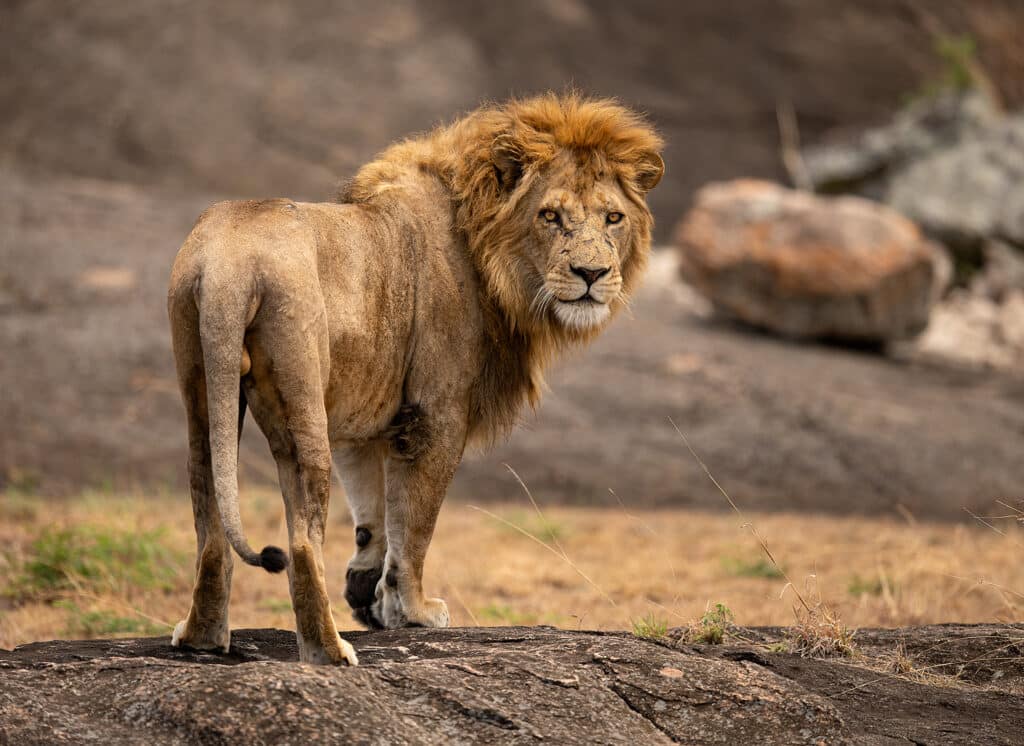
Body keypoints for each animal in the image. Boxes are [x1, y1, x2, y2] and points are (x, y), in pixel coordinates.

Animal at [165, 91, 663, 663]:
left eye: (613, 217)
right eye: (551, 216)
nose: (591, 275)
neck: (486, 250)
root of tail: (231, 266)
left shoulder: (365, 416)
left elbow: (374, 513)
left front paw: (368, 592)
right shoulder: (436, 414)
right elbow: (416, 523)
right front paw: (415, 611)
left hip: (201, 379)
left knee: (208, 512)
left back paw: (202, 637)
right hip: (300, 399)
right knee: (301, 540)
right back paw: (329, 651)